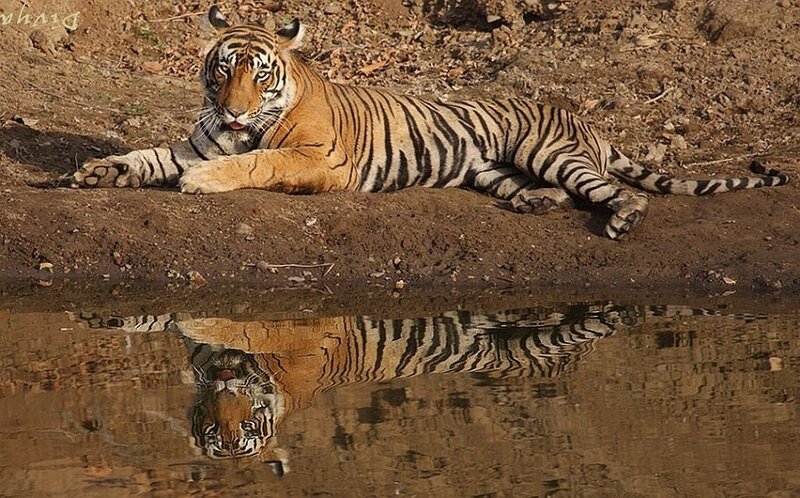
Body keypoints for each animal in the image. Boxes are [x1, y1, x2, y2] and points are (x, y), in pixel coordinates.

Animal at [70, 6, 789, 240]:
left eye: (259, 74)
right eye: (223, 71)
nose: (235, 108)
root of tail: (586, 122)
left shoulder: (318, 160)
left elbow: (255, 160)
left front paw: (202, 183)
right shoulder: (195, 140)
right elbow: (147, 156)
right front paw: (97, 170)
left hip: (549, 149)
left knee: (617, 191)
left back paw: (622, 219)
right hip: (495, 169)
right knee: (553, 191)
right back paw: (536, 203)